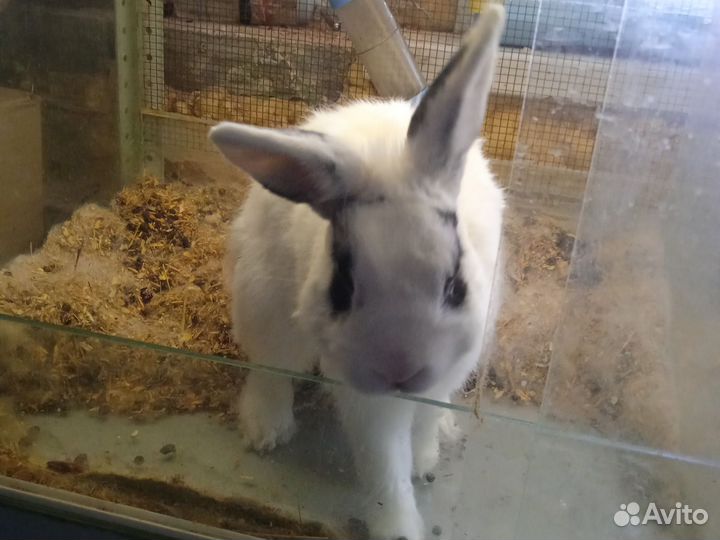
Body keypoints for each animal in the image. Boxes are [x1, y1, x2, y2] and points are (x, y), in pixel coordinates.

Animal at [210, 6, 506, 539]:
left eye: (455, 287)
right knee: (270, 370)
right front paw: (399, 528)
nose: (400, 369)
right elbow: (384, 468)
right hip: (262, 305)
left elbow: (423, 426)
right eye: (342, 289)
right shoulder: (366, 401)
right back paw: (266, 432)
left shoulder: (449, 370)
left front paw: (426, 459)